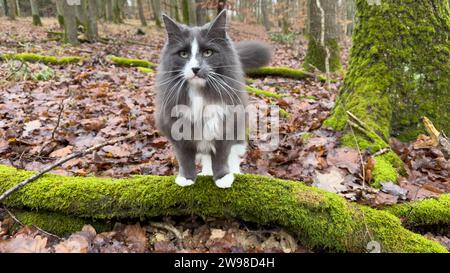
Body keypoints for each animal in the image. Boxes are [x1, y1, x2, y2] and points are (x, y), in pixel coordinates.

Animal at [156, 10, 270, 187]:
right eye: (183, 54)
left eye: (208, 53)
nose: (195, 68)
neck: (199, 93)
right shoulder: (177, 128)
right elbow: (185, 158)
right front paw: (186, 178)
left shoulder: (225, 125)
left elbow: (221, 156)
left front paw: (223, 177)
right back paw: (206, 172)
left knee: (233, 155)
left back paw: (233, 171)